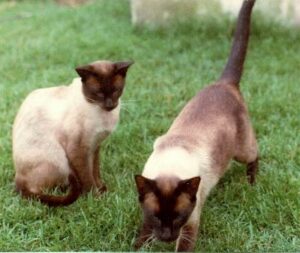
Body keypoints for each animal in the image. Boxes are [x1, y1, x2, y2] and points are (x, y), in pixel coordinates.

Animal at [12, 60, 132, 207]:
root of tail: (18, 179)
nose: (110, 105)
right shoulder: (78, 149)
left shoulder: (95, 146)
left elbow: (95, 171)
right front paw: (97, 198)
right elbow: (87, 177)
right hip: (61, 162)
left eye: (116, 90)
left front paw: (102, 190)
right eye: (98, 93)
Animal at [134, 0, 258, 251]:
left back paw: (251, 182)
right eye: (156, 217)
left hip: (242, 151)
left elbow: (184, 245)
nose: (167, 237)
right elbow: (140, 238)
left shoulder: (190, 226)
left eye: (178, 218)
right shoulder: (147, 221)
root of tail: (224, 83)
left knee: (255, 154)